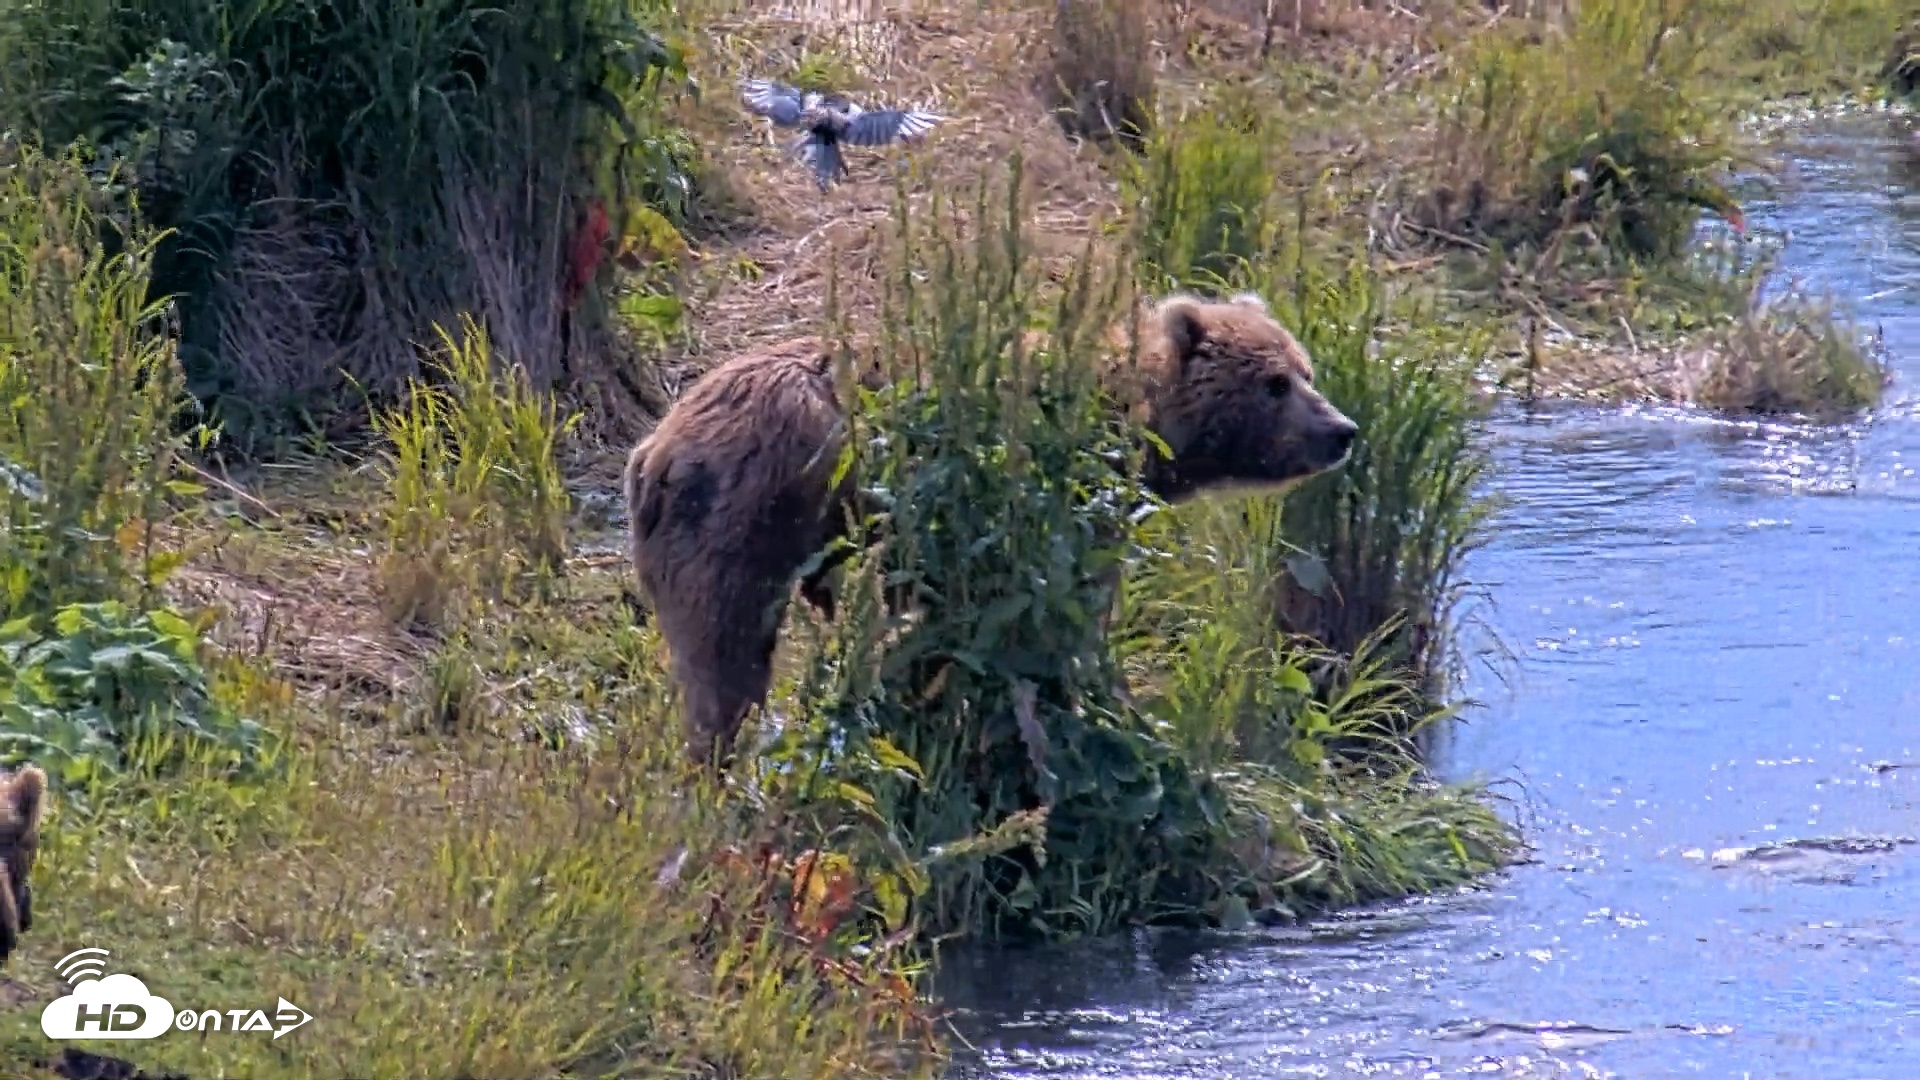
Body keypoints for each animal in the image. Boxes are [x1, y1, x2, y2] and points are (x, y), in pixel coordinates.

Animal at [625, 292, 1359, 767]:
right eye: (1274, 382)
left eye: (1305, 370)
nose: (1342, 430)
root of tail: (654, 446)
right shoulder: (1055, 490)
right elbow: (1068, 606)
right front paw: (1098, 701)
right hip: (743, 516)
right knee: (726, 645)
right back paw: (718, 758)